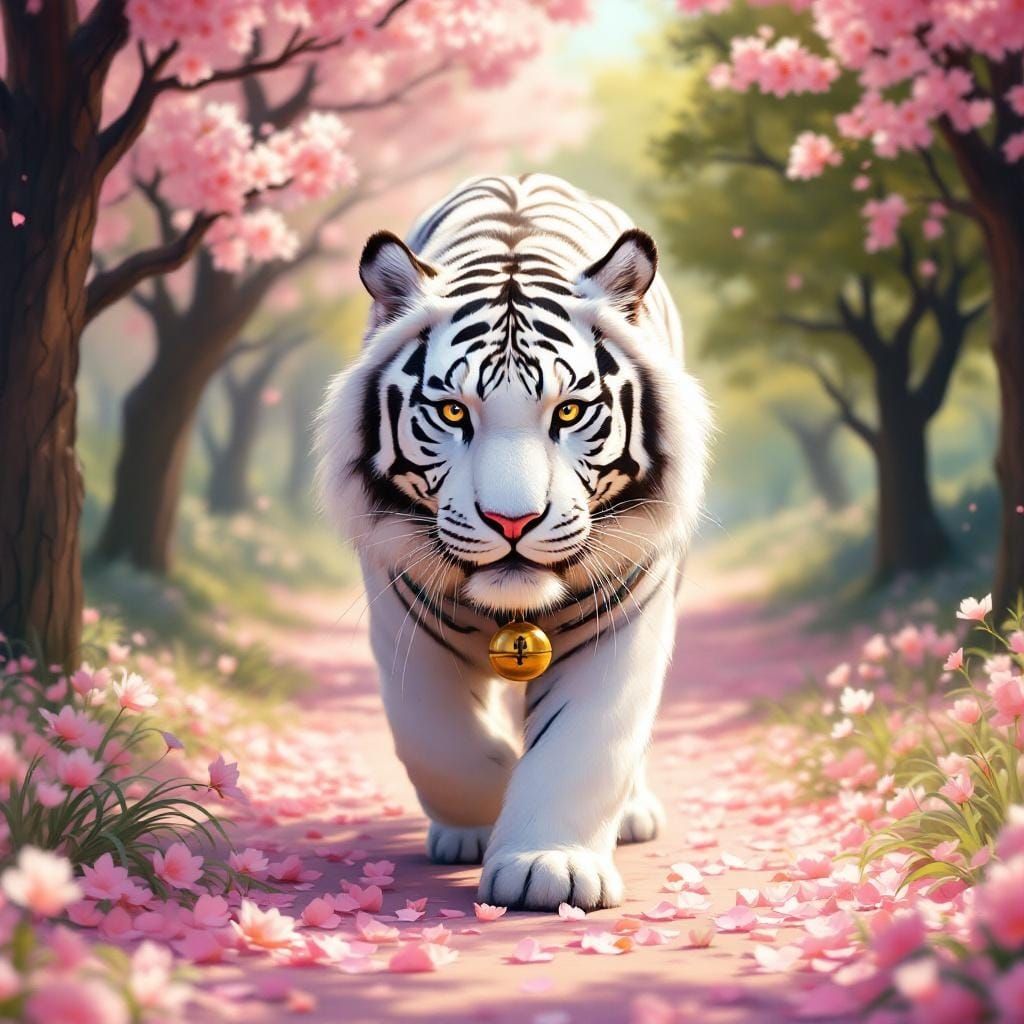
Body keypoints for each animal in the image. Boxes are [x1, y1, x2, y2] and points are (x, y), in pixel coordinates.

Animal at [317, 173, 711, 912]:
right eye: (452, 412)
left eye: (569, 411)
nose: (512, 522)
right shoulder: (401, 610)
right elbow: (438, 742)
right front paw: (491, 804)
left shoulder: (625, 613)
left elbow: (583, 745)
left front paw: (545, 864)